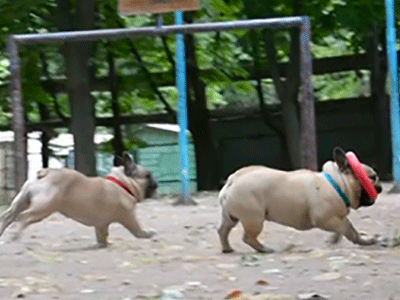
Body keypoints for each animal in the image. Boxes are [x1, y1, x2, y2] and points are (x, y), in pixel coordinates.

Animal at [0, 154, 158, 247]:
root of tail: (45, 172)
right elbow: (137, 230)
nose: (156, 183)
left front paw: (104, 244)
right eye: (148, 176)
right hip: (44, 208)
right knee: (24, 217)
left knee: (8, 217)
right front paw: (147, 234)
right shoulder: (129, 217)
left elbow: (102, 235)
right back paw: (15, 238)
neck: (122, 184)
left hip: (21, 202)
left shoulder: (101, 224)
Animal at [220, 147, 382, 253]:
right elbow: (344, 229)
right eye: (372, 177)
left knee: (223, 231)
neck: (337, 184)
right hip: (254, 219)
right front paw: (335, 239)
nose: (380, 187)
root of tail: (232, 180)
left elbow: (351, 230)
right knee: (248, 237)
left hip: (231, 217)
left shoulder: (338, 217)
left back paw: (227, 248)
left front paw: (365, 241)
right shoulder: (325, 219)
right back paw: (265, 249)